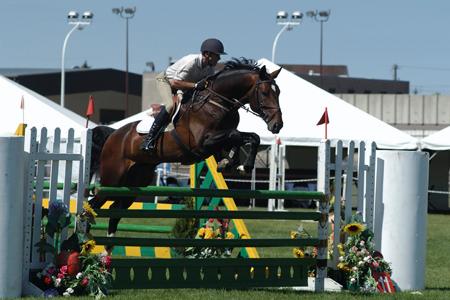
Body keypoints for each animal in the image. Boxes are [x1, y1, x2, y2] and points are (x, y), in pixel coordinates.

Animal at [89, 58, 284, 236]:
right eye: (265, 93)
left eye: (279, 92)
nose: (277, 125)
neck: (217, 102)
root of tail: (113, 134)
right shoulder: (204, 142)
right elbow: (236, 135)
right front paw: (239, 164)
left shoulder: (219, 139)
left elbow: (250, 137)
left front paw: (234, 163)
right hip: (112, 180)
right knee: (93, 204)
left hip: (135, 181)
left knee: (115, 210)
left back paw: (107, 248)